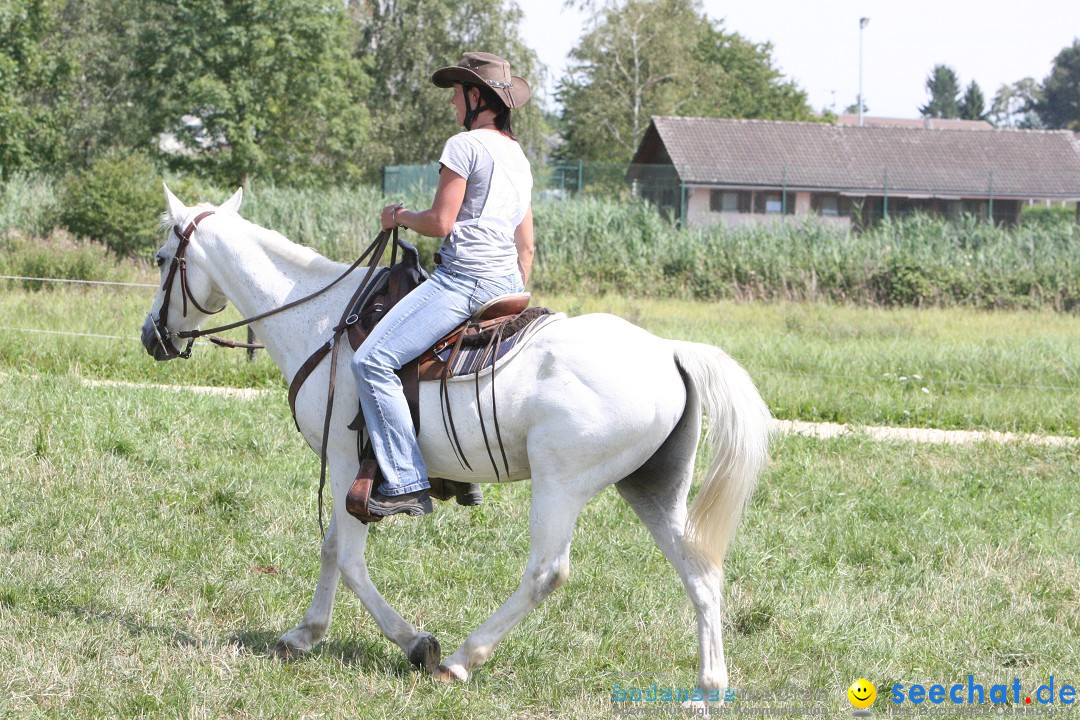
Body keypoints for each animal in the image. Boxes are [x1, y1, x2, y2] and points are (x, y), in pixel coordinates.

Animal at [139, 187, 773, 699]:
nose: (152, 337)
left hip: (561, 485)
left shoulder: (345, 463)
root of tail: (669, 350)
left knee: (547, 572)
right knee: (699, 570)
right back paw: (709, 686)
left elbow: (346, 557)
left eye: (163, 259)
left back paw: (465, 659)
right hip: (652, 486)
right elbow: (331, 548)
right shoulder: (348, 469)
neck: (322, 321)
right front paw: (305, 634)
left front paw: (416, 643)